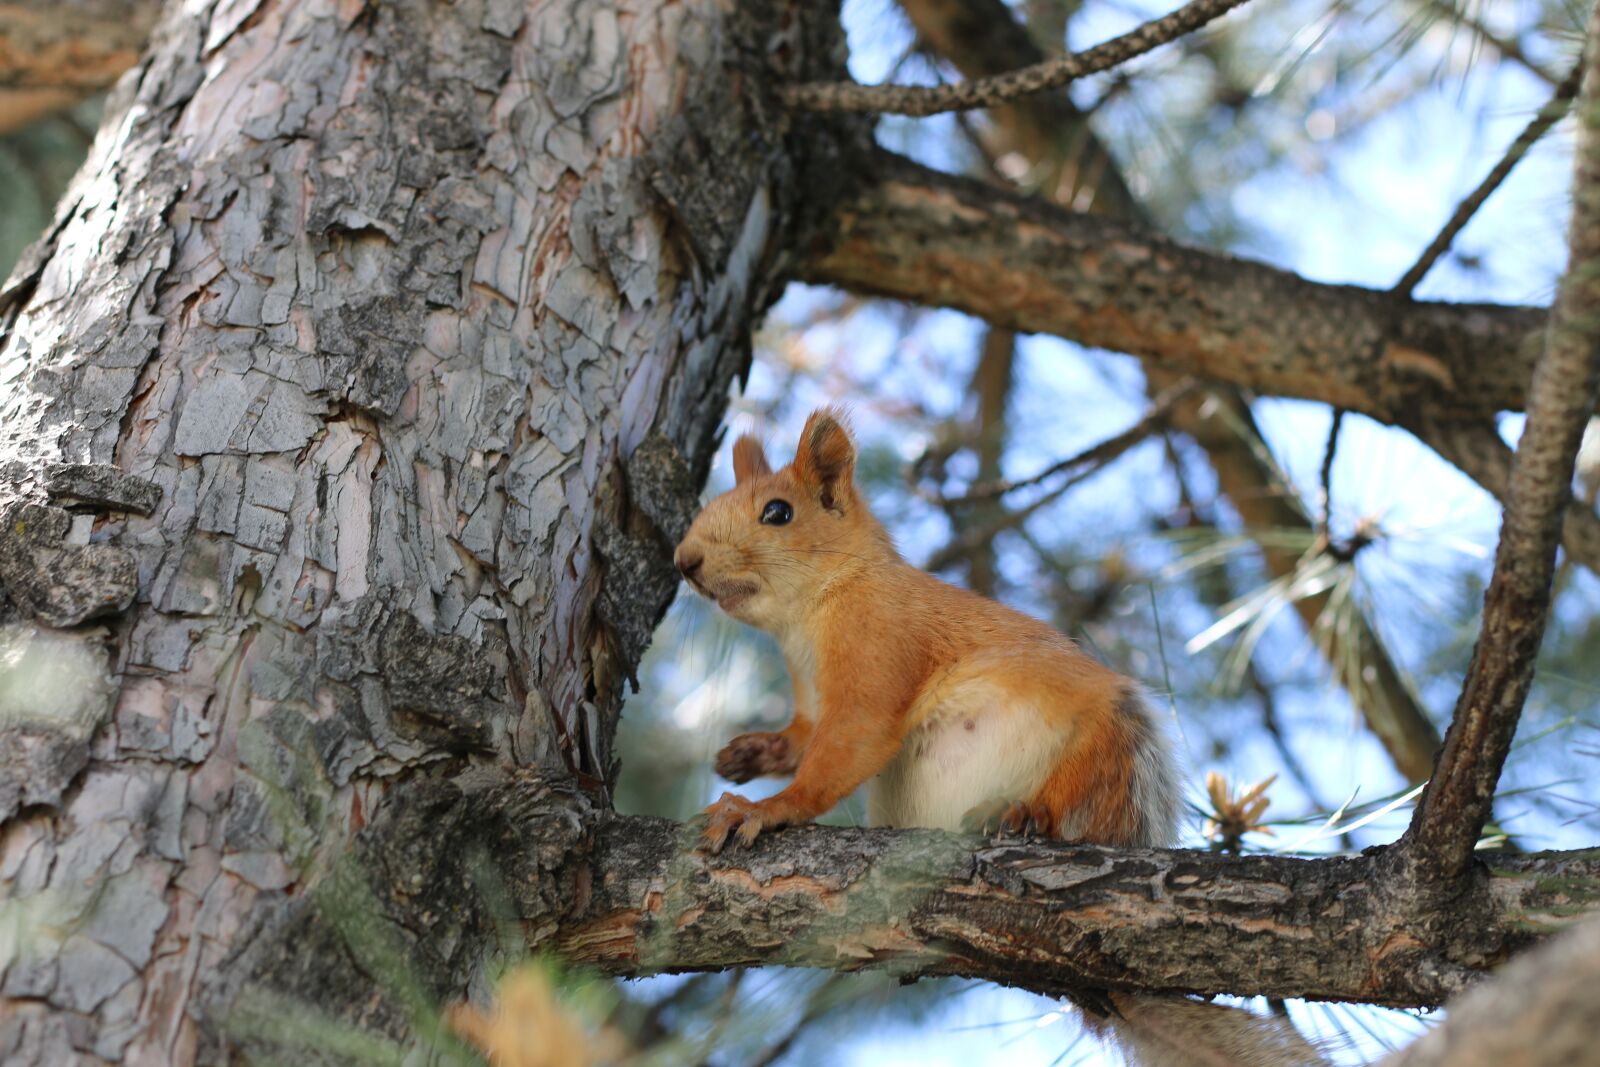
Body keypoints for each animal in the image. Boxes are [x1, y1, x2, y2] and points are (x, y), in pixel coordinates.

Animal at [668, 406, 1331, 1067]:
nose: (684, 561)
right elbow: (804, 737)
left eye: (777, 512)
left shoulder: (878, 650)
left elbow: (847, 748)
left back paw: (1024, 814)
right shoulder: (809, 692)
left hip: (1112, 744)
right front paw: (751, 753)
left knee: (1084, 795)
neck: (812, 613)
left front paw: (765, 808)